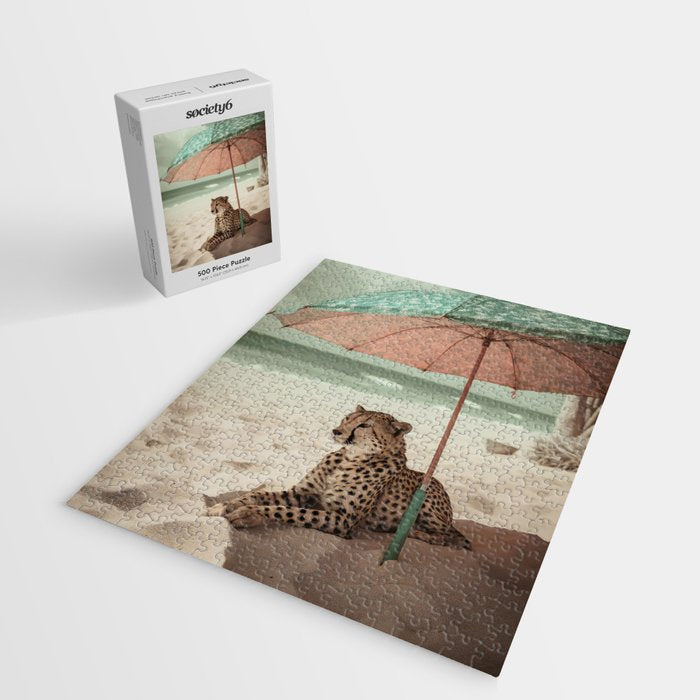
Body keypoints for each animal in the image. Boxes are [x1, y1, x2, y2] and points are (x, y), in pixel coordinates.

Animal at [206, 405, 471, 550]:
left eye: (364, 425)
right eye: (347, 418)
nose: (337, 431)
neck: (352, 458)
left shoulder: (344, 520)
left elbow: (287, 511)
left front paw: (248, 514)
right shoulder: (300, 493)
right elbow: (260, 495)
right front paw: (224, 505)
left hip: (427, 501)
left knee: (451, 536)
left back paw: (414, 533)